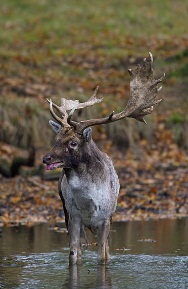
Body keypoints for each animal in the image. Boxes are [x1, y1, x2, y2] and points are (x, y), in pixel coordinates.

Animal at [42, 53, 164, 264]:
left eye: (73, 142)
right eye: (56, 139)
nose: (46, 158)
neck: (87, 200)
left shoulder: (106, 217)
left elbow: (103, 255)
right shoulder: (73, 216)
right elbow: (73, 255)